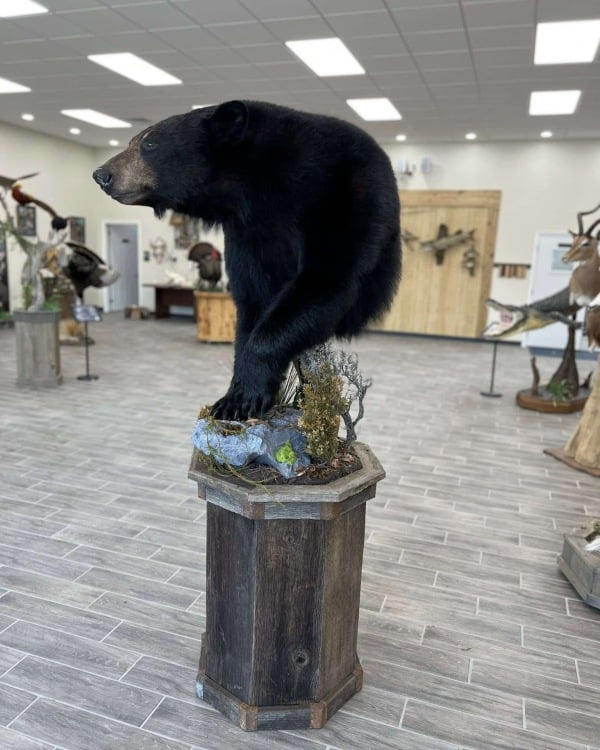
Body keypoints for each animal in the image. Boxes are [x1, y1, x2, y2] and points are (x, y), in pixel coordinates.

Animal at [93, 100, 401, 420]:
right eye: (132, 140)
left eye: (149, 142)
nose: (101, 175)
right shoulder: (247, 231)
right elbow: (252, 297)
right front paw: (234, 395)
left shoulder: (337, 195)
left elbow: (326, 278)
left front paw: (243, 397)